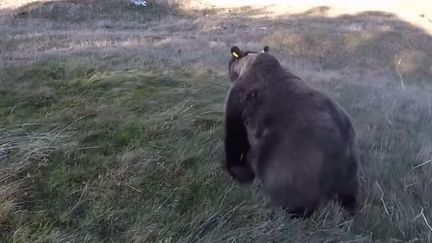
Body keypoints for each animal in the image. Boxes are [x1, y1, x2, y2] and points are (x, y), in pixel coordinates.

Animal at [224, 45, 360, 216]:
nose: (229, 63)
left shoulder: (240, 100)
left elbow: (235, 137)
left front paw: (237, 172)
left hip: (294, 163)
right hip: (348, 170)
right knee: (348, 193)